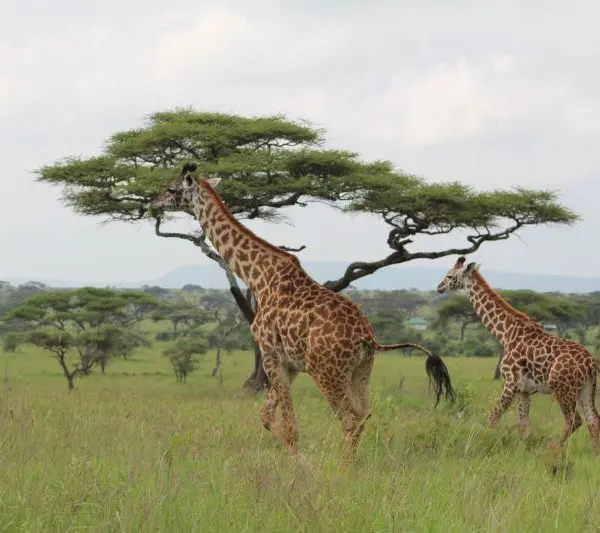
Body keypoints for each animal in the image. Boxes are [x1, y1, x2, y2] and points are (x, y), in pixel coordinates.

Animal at [150, 162, 454, 462]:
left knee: (348, 419)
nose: (153, 203)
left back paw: (344, 468)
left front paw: (299, 466)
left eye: (171, 189)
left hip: (327, 372)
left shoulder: (270, 354)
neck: (259, 276)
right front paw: (299, 460)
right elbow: (265, 415)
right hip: (361, 370)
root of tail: (367, 337)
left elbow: (289, 425)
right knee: (363, 414)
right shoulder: (291, 364)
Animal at [436, 255, 600, 454]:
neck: (505, 333)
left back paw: (554, 449)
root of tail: (590, 363)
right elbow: (524, 425)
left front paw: (489, 444)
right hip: (586, 389)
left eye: (450, 276)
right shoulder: (524, 390)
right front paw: (522, 450)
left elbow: (493, 417)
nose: (439, 287)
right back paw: (594, 454)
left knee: (574, 419)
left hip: (562, 388)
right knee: (593, 419)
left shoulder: (511, 382)